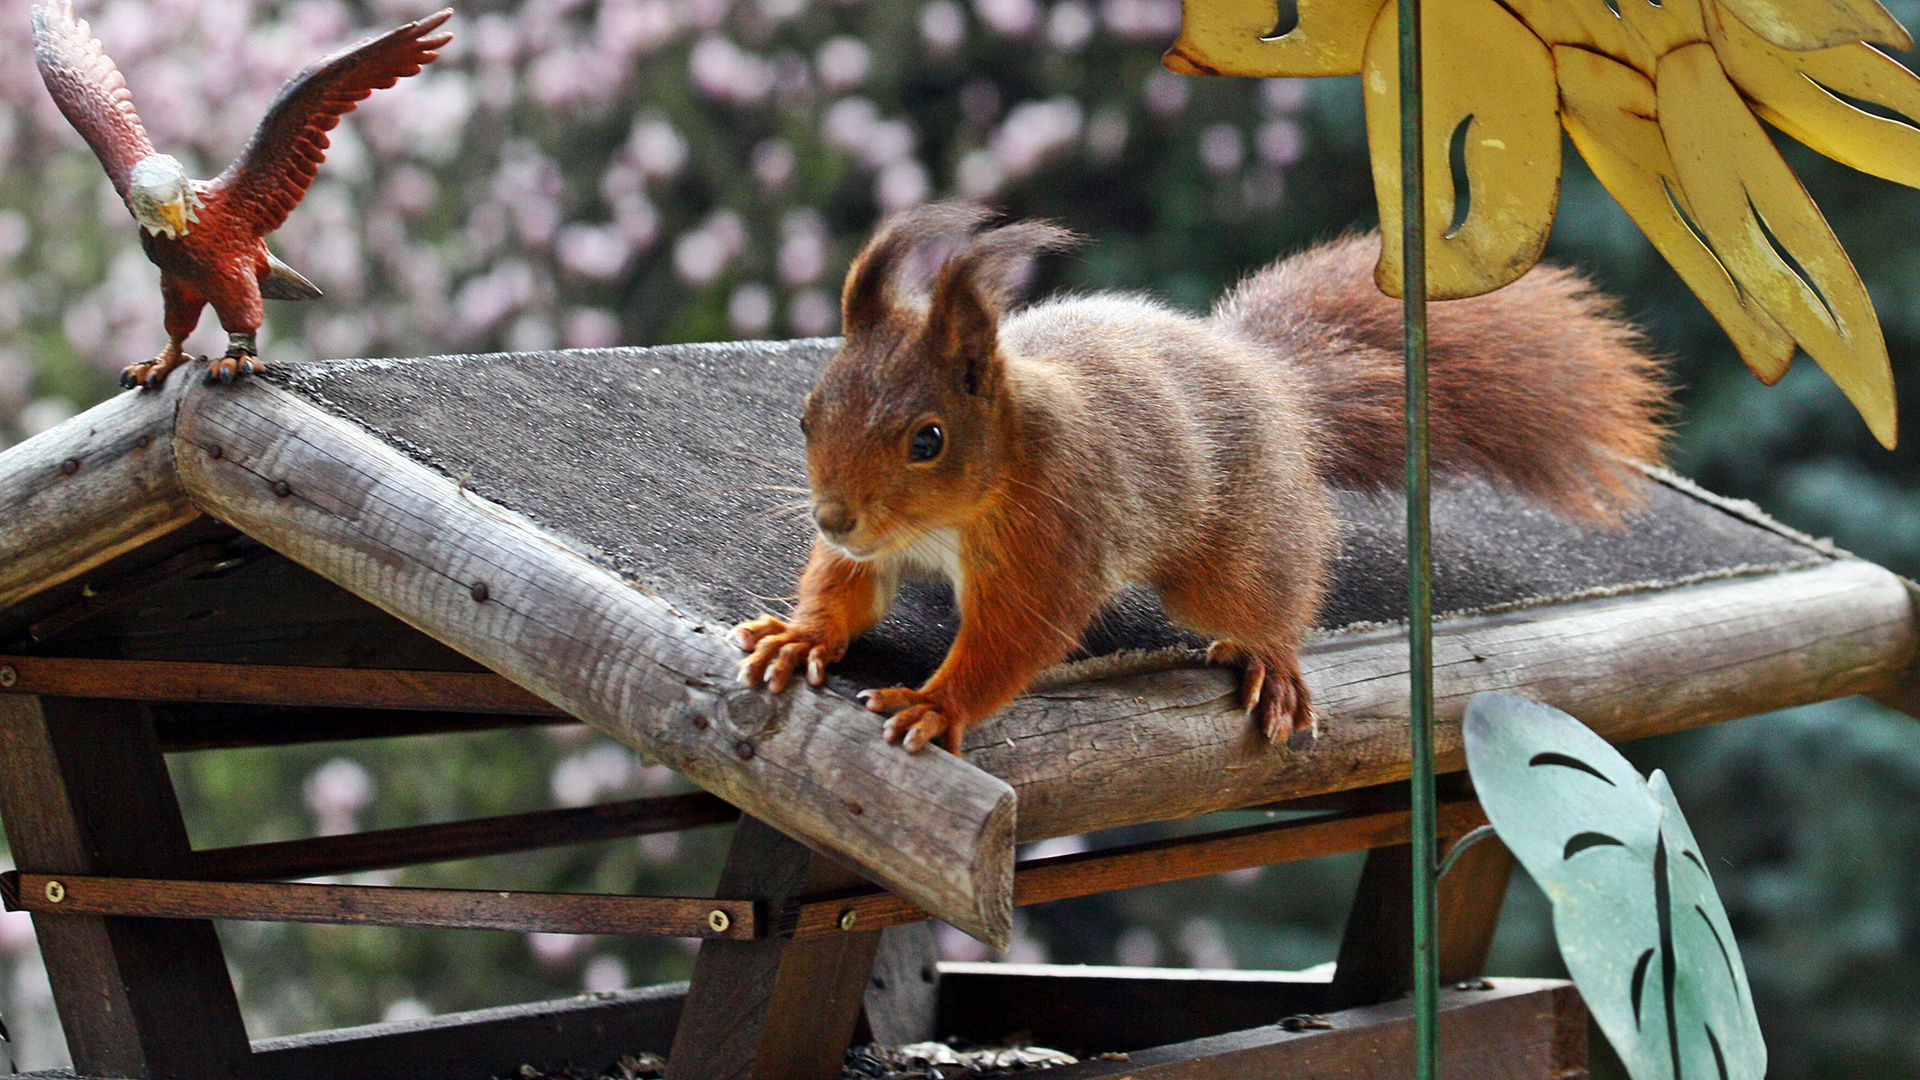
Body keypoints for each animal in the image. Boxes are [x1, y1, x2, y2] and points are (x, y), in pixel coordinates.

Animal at [733, 201, 1666, 749]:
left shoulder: (1056, 532)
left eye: (928, 439)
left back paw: (1275, 663)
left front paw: (938, 705)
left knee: (1270, 595)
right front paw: (800, 637)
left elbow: (1016, 639)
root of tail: (1271, 381)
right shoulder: (875, 548)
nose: (833, 517)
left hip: (1232, 551)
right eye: (808, 415)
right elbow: (845, 588)